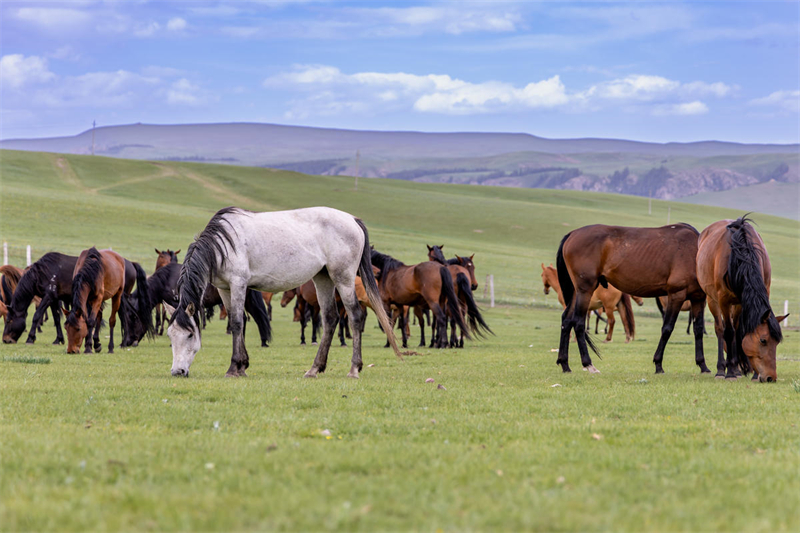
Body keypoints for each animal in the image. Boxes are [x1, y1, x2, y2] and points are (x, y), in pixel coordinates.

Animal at [167, 205, 400, 378]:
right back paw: (315, 369)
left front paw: (234, 368)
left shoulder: (238, 283)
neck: (223, 243)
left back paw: (354, 368)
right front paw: (243, 365)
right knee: (330, 318)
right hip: (323, 278)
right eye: (170, 335)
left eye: (190, 334)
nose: (178, 371)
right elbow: (237, 322)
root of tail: (352, 219)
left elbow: (237, 322)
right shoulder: (225, 288)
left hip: (343, 278)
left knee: (355, 316)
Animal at [552, 222, 708, 372]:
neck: (696, 253)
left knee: (566, 321)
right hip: (585, 290)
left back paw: (565, 364)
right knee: (578, 322)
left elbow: (699, 329)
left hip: (576, 292)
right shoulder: (677, 295)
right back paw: (588, 364)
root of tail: (572, 234)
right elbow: (667, 329)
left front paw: (703, 365)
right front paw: (658, 364)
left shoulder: (698, 298)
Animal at [696, 216, 784, 382]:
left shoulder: (741, 301)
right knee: (720, 329)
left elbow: (739, 333)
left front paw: (751, 374)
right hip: (712, 300)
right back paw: (721, 370)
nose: (771, 378)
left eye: (777, 342)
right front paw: (729, 373)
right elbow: (729, 333)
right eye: (763, 340)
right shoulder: (724, 300)